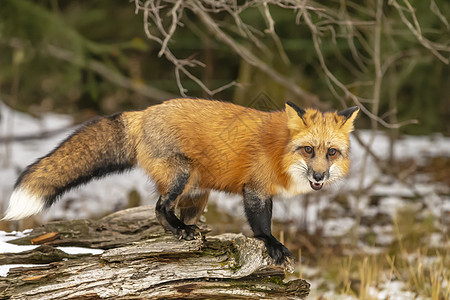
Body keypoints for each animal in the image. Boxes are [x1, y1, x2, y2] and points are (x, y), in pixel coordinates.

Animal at [1, 99, 356, 264]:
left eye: (332, 152)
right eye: (308, 150)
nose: (319, 176)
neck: (280, 150)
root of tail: (143, 113)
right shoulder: (255, 188)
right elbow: (261, 224)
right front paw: (272, 245)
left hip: (198, 192)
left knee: (175, 212)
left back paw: (189, 232)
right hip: (181, 175)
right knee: (159, 208)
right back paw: (179, 231)